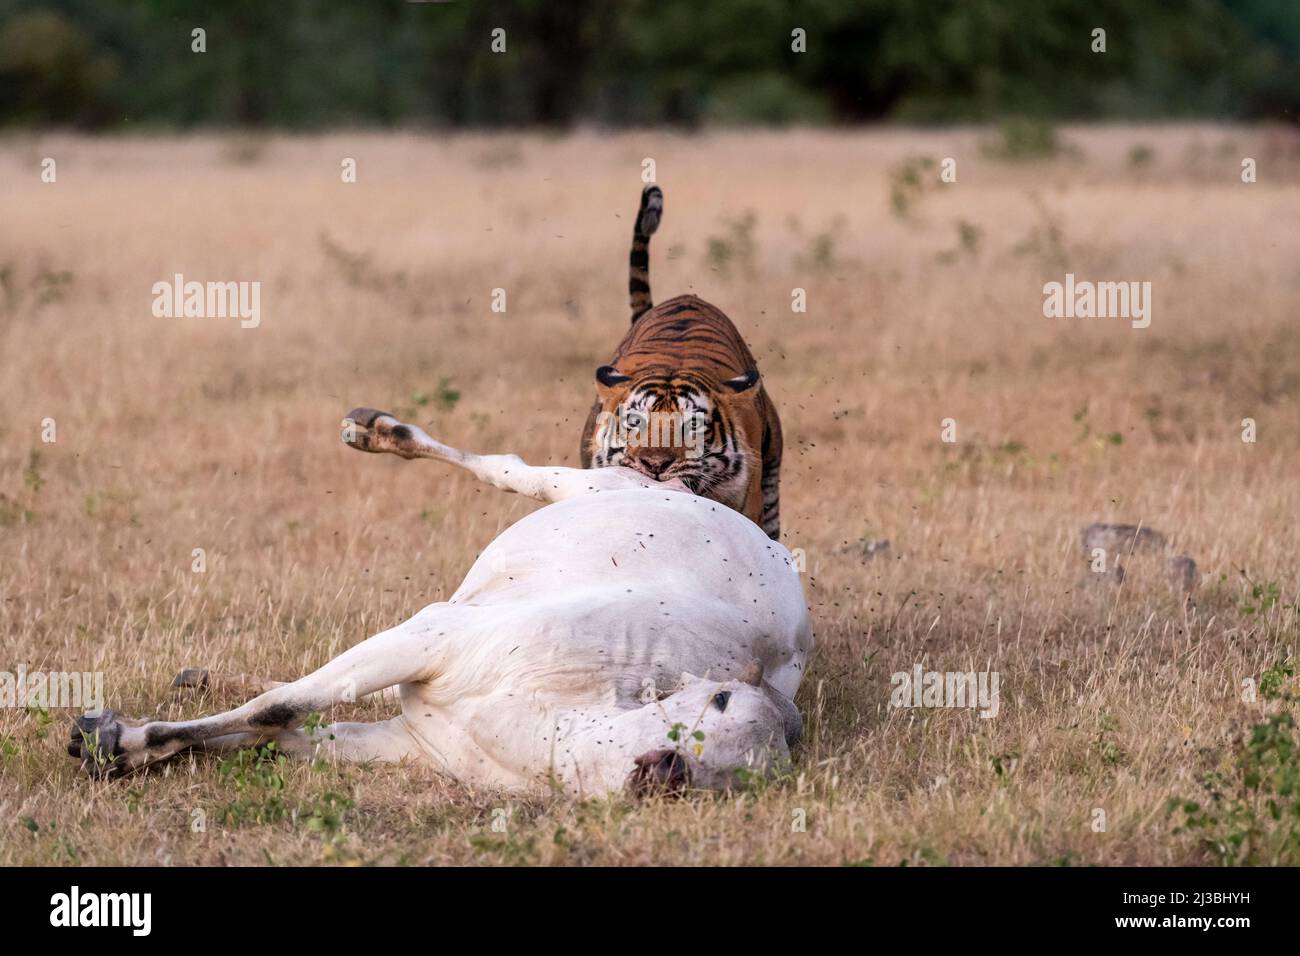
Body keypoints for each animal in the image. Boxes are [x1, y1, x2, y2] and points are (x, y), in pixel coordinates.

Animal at [68, 408, 811, 796]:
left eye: (748, 772)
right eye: (720, 700)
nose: (670, 773)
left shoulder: (402, 742)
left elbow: (272, 731)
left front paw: (128, 742)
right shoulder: (429, 638)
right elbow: (275, 708)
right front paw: (113, 737)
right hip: (592, 486)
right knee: (509, 470)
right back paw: (378, 431)